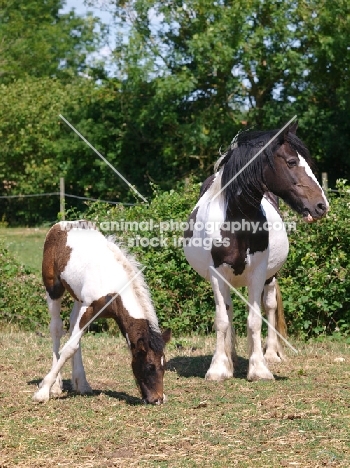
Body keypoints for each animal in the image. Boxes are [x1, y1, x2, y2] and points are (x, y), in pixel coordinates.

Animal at [33, 221, 170, 404]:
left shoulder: (86, 307)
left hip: (78, 298)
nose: (158, 399)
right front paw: (43, 391)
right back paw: (56, 386)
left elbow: (75, 341)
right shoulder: (89, 308)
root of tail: (61, 224)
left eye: (164, 365)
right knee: (56, 328)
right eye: (150, 366)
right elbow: (69, 347)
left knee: (72, 327)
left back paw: (82, 384)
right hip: (53, 288)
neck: (114, 288)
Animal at [183, 122, 328, 382]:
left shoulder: (258, 273)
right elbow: (222, 319)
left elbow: (254, 320)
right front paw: (218, 368)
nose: (322, 206)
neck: (237, 224)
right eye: (291, 161)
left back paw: (270, 354)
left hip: (270, 276)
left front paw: (259, 368)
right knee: (228, 309)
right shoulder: (217, 274)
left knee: (269, 306)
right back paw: (230, 356)